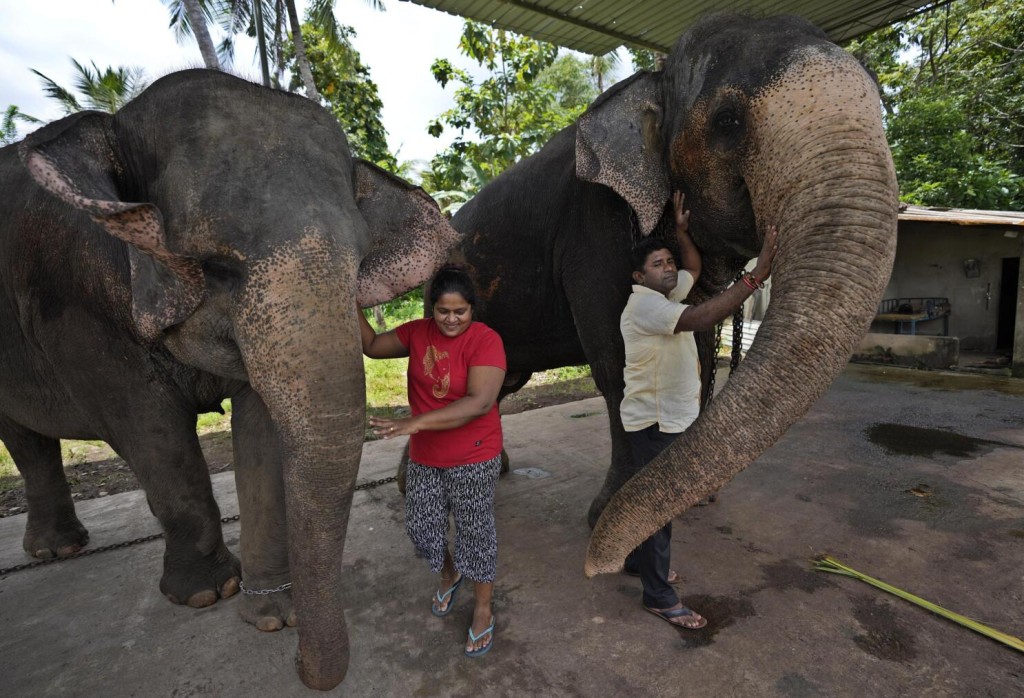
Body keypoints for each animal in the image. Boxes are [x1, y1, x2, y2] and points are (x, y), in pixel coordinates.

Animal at [0, 68, 456, 687]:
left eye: (358, 262)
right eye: (216, 266)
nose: (299, 663)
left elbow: (260, 431)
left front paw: (273, 615)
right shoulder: (75, 305)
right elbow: (151, 434)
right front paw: (206, 594)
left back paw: (58, 549)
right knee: (25, 436)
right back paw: (56, 553)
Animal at [440, 12, 897, 560]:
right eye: (727, 120)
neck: (653, 78)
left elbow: (696, 346)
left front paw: (685, 499)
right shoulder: (592, 226)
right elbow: (616, 362)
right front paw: (607, 517)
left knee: (503, 380)